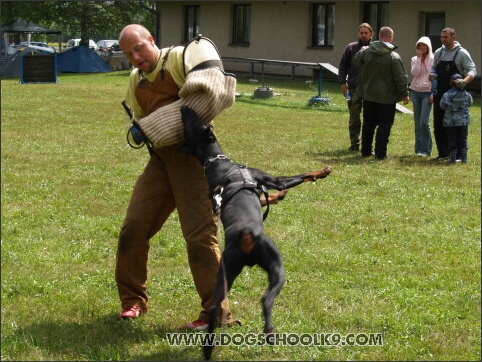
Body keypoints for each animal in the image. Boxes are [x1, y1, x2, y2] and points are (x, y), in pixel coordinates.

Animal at [177, 105, 332, 360]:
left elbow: (267, 197)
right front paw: (323, 171)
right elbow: (300, 177)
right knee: (266, 299)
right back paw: (269, 333)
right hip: (277, 267)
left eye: (191, 120)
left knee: (214, 309)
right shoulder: (272, 179)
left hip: (225, 275)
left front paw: (278, 197)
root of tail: (245, 235)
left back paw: (208, 348)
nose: (184, 107)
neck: (216, 162)